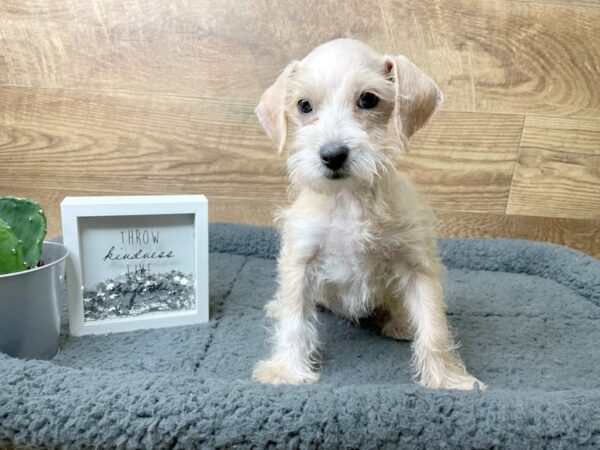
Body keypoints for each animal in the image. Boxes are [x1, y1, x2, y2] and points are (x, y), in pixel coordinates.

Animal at [252, 38, 482, 390]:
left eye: (368, 99)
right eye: (304, 105)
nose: (333, 155)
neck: (349, 198)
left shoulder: (417, 263)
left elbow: (433, 325)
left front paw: (447, 378)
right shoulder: (300, 260)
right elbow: (294, 321)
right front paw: (286, 371)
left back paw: (401, 323)